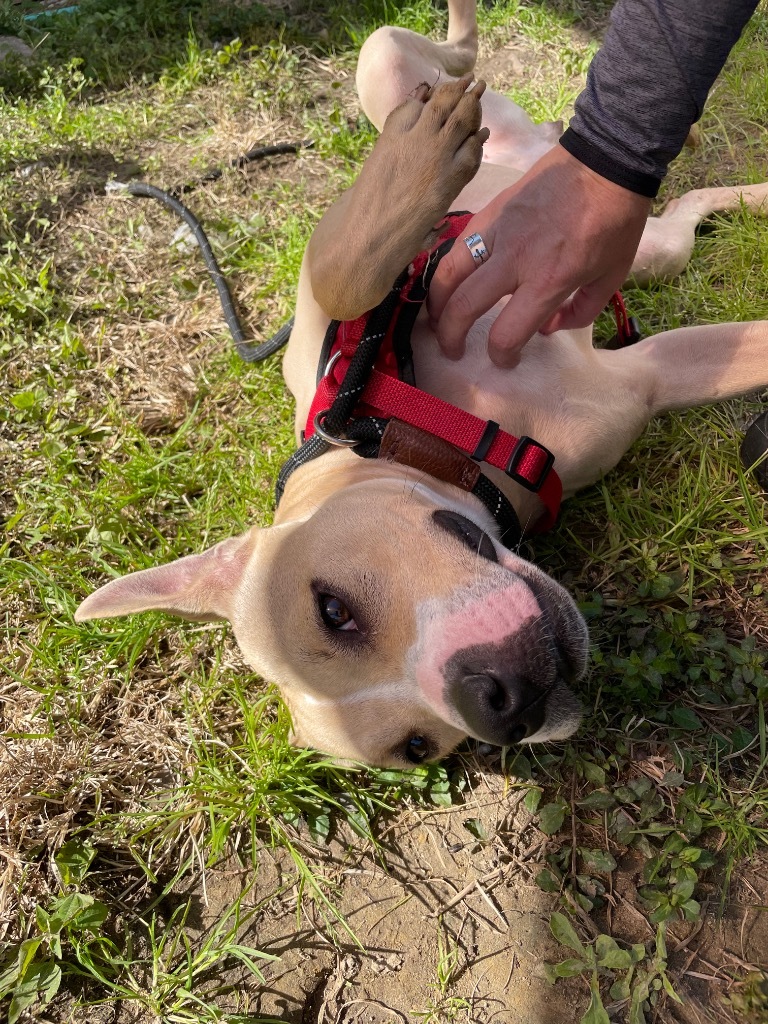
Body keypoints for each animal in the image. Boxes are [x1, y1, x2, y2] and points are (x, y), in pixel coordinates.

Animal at [75, 2, 768, 770]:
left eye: (332, 610)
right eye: (418, 746)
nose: (495, 700)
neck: (417, 428)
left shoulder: (338, 299)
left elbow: (341, 276)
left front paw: (409, 176)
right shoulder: (644, 376)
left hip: (387, 67)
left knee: (446, 60)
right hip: (642, 250)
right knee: (681, 205)